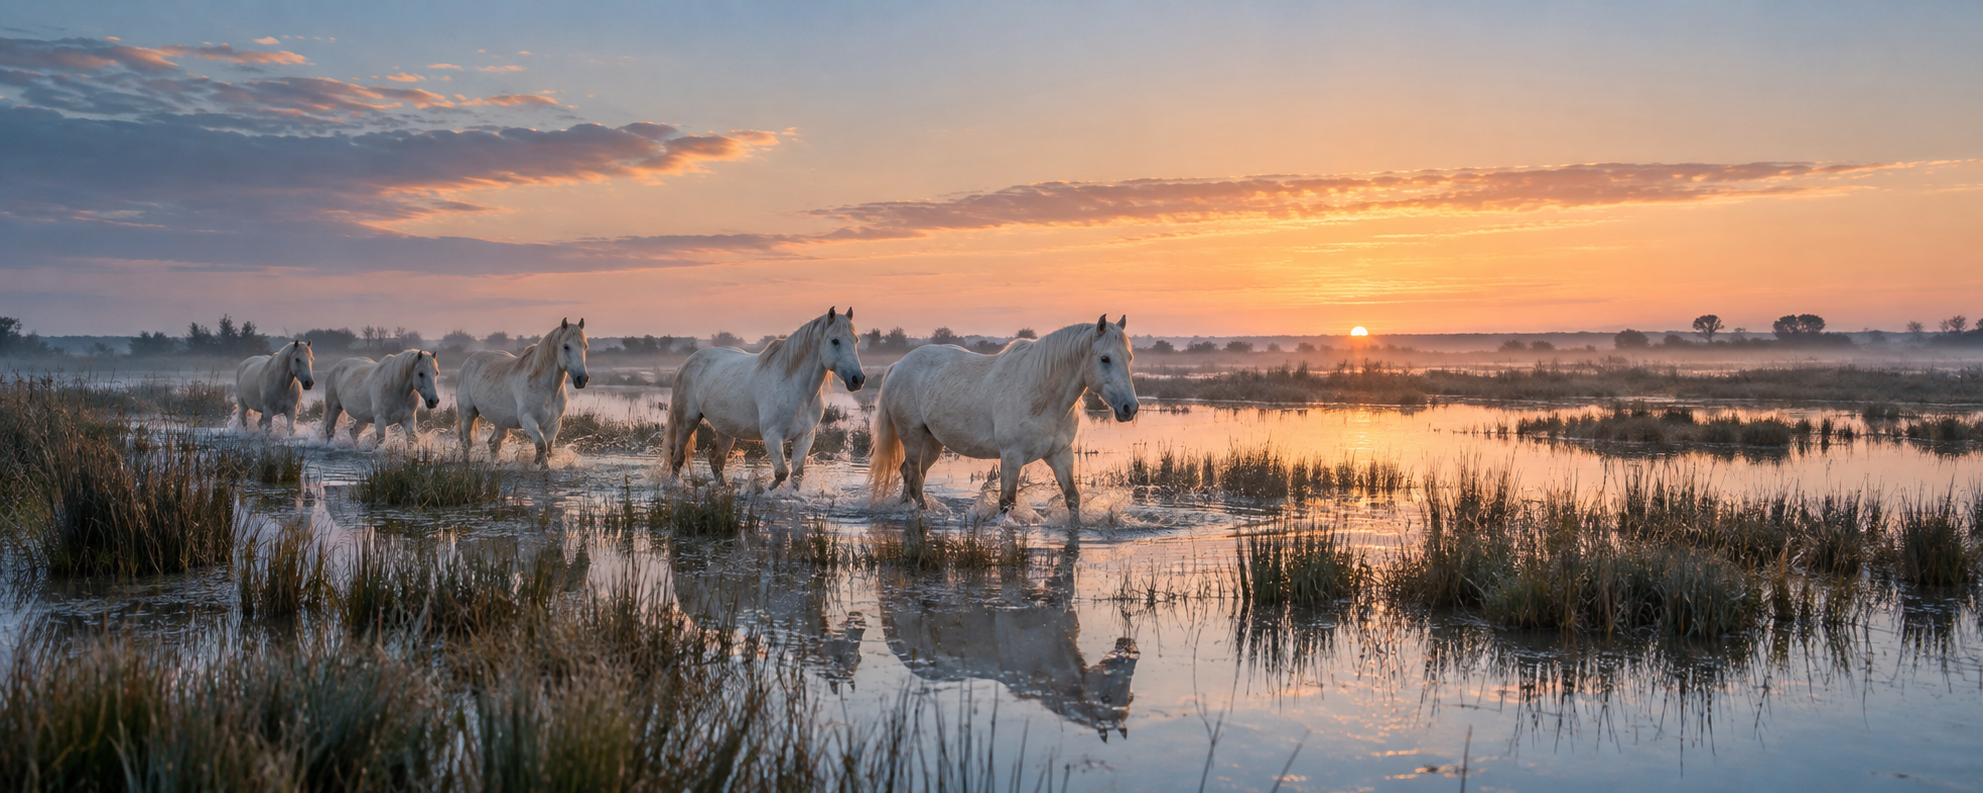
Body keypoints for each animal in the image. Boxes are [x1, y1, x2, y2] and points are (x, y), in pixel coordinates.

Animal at [454, 318, 590, 466]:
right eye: (566, 346)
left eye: (585, 346)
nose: (582, 379)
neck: (548, 389)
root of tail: (468, 362)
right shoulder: (528, 420)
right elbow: (541, 446)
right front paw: (542, 467)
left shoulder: (553, 424)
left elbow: (548, 449)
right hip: (468, 414)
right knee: (467, 442)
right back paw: (466, 463)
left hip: (501, 422)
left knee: (493, 443)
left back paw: (495, 465)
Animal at [665, 307, 866, 489]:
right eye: (835, 341)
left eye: (856, 340)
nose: (858, 379)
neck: (797, 389)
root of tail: (686, 363)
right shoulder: (772, 436)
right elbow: (781, 473)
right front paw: (760, 490)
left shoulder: (805, 436)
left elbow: (797, 475)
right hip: (687, 421)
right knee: (678, 457)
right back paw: (675, 485)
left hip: (726, 430)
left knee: (716, 459)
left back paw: (724, 488)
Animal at [867, 315, 1137, 522]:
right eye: (1104, 358)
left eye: (1129, 358)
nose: (1130, 407)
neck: (1042, 394)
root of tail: (899, 364)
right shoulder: (1011, 456)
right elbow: (1007, 502)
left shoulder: (1061, 454)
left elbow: (1072, 498)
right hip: (912, 437)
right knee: (915, 479)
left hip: (932, 442)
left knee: (910, 474)